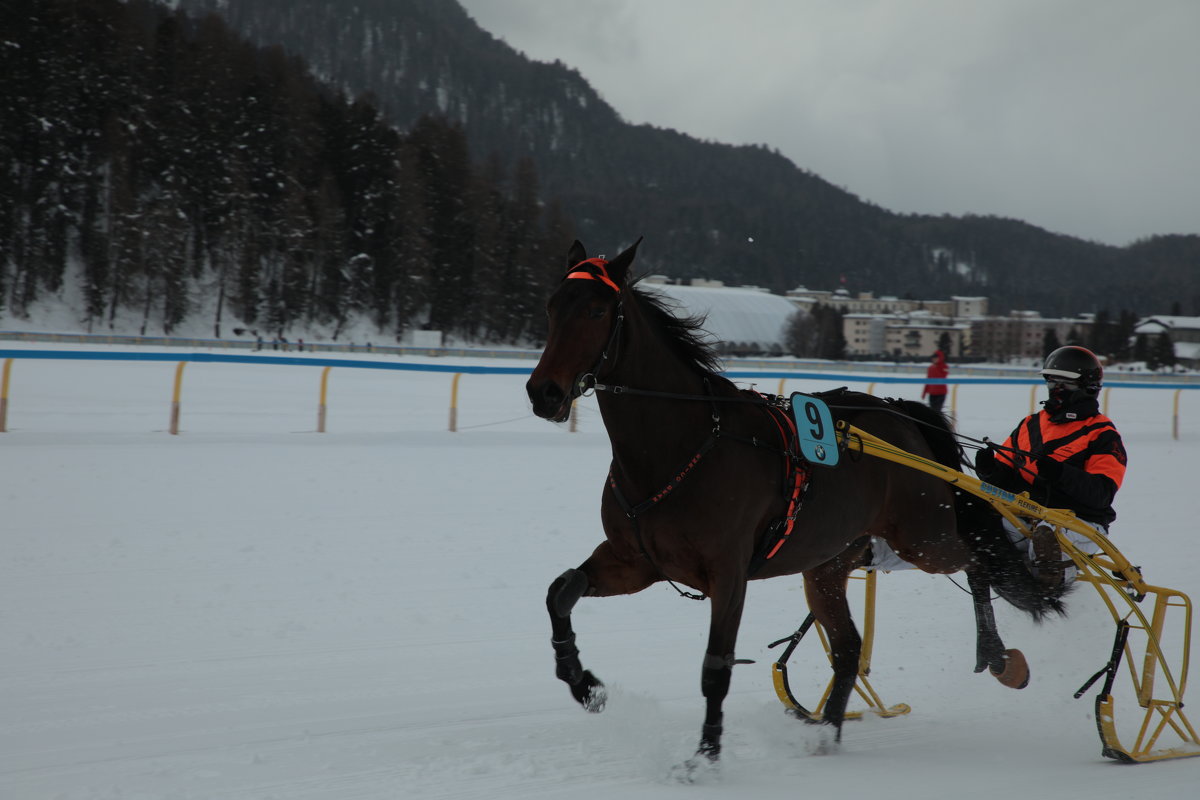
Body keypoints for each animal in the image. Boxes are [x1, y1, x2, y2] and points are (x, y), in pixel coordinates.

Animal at [528, 241, 1070, 767]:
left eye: (598, 309)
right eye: (552, 306)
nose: (543, 392)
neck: (678, 448)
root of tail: (901, 414)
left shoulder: (728, 573)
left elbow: (715, 667)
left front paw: (706, 756)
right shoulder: (635, 560)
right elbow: (560, 591)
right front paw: (584, 683)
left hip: (923, 538)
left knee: (979, 561)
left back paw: (997, 654)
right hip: (830, 562)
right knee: (849, 648)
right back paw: (828, 732)